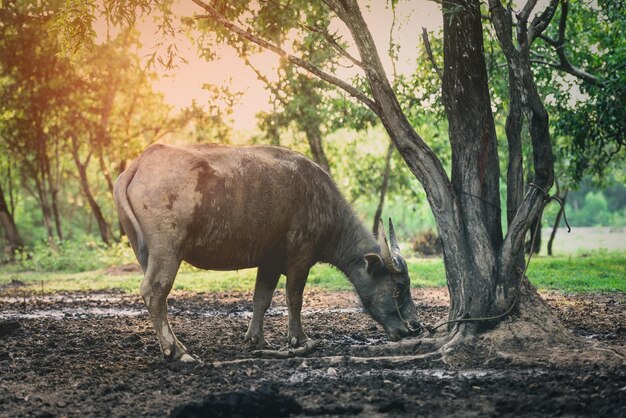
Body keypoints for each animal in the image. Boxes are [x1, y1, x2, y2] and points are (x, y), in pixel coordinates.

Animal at [114, 145, 422, 362]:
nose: (414, 327)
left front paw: (256, 340)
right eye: (398, 287)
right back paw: (176, 351)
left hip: (145, 252)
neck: (322, 203)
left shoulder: (270, 262)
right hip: (168, 250)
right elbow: (294, 298)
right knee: (155, 291)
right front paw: (299, 339)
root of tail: (139, 164)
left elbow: (261, 298)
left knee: (158, 297)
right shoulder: (300, 258)